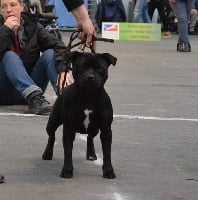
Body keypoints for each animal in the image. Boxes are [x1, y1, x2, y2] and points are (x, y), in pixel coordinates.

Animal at [41, 50, 116, 179]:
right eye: (81, 67)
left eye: (99, 68)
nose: (90, 77)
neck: (88, 95)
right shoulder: (68, 129)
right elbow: (68, 152)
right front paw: (67, 170)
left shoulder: (106, 129)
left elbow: (107, 153)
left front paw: (108, 171)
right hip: (52, 122)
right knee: (51, 136)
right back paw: (47, 153)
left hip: (95, 129)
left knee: (90, 137)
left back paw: (91, 154)